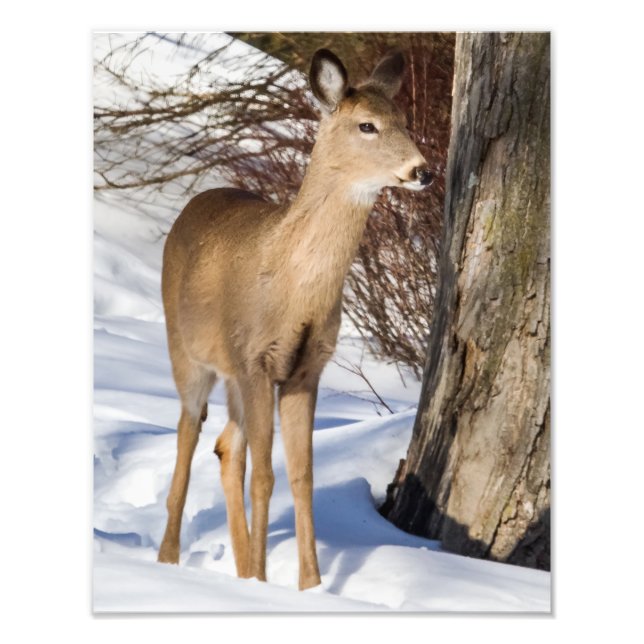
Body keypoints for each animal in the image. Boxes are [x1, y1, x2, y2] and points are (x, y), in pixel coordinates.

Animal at [157, 48, 433, 590]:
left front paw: (310, 587)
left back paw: (241, 568)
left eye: (405, 121)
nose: (423, 170)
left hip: (234, 377)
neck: (293, 290)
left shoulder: (306, 368)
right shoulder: (256, 359)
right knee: (188, 433)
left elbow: (302, 477)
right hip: (188, 352)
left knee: (226, 447)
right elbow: (265, 475)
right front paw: (268, 585)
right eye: (367, 125)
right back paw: (168, 559)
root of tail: (195, 201)